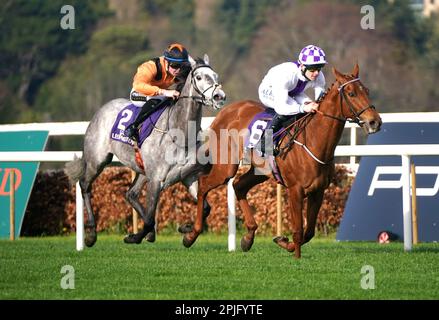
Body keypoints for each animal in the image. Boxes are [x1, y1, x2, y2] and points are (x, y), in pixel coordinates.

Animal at [64, 55, 227, 246]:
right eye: (199, 77)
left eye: (216, 76)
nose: (219, 96)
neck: (179, 133)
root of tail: (102, 109)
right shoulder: (156, 180)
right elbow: (149, 219)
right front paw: (134, 236)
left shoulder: (188, 176)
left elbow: (206, 208)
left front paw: (186, 231)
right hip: (97, 160)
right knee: (85, 185)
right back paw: (91, 234)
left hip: (141, 169)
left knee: (131, 194)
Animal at [182, 62, 382, 258]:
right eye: (351, 93)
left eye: (367, 91)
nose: (375, 122)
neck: (314, 140)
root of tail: (226, 111)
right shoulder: (295, 190)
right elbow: (299, 230)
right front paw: (296, 258)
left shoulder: (318, 191)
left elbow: (309, 232)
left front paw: (283, 242)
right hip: (226, 166)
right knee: (204, 184)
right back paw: (192, 235)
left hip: (260, 171)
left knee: (239, 186)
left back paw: (248, 237)